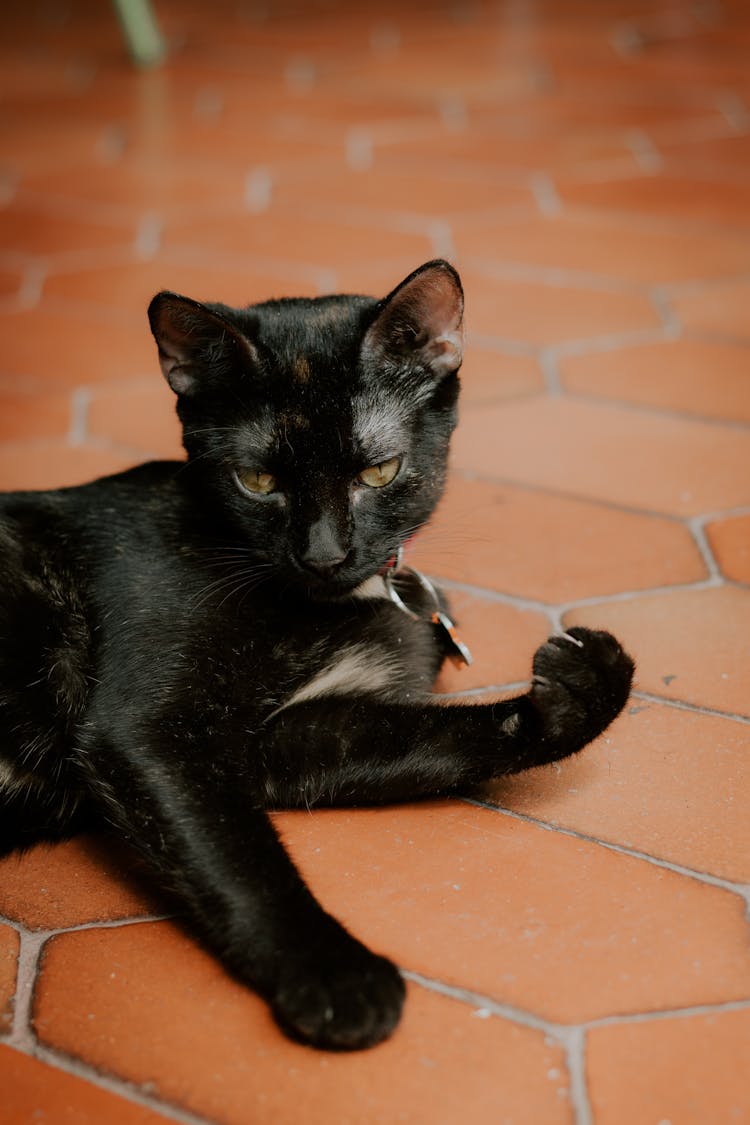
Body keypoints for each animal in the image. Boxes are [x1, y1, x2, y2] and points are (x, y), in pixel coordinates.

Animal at [0, 258, 634, 1048]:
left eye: (379, 472)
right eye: (258, 481)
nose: (323, 554)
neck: (341, 602)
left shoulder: (285, 744)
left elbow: (446, 739)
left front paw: (576, 694)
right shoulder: (147, 731)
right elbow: (239, 856)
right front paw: (333, 974)